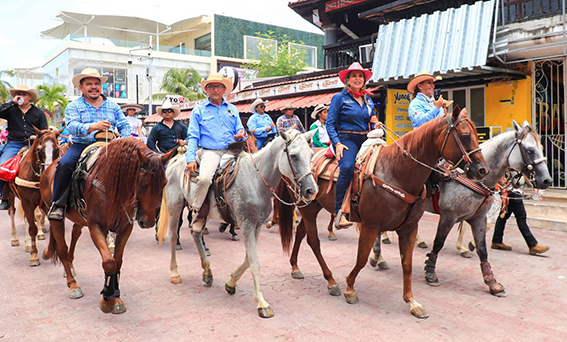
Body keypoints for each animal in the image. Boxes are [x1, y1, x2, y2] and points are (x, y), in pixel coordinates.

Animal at [6, 128, 60, 264]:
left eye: (57, 149)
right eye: (40, 150)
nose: (49, 172)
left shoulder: (46, 204)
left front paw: (46, 252)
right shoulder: (27, 203)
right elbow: (32, 229)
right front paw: (34, 256)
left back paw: (27, 244)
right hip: (11, 196)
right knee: (12, 211)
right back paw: (15, 238)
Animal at [39, 138, 173, 314]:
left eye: (164, 183)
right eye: (143, 185)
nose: (148, 221)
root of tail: (49, 169)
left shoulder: (125, 228)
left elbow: (118, 261)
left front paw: (116, 296)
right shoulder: (96, 226)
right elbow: (109, 262)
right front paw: (107, 299)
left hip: (80, 219)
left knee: (75, 233)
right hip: (55, 215)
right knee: (61, 248)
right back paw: (72, 284)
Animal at [159, 130, 320, 320]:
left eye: (311, 155)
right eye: (294, 156)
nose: (311, 190)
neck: (256, 180)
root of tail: (177, 159)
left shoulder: (256, 226)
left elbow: (248, 259)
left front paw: (230, 282)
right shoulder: (246, 225)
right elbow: (254, 263)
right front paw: (262, 303)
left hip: (198, 213)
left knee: (196, 233)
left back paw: (207, 272)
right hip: (175, 206)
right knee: (173, 237)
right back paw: (175, 273)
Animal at [276, 107, 488, 318]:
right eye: (465, 136)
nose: (482, 170)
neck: (395, 172)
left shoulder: (409, 228)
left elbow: (407, 264)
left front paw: (412, 302)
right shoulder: (370, 226)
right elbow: (362, 258)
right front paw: (350, 289)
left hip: (313, 207)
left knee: (301, 233)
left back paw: (295, 267)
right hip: (307, 208)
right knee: (313, 241)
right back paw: (331, 281)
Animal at [368, 120, 552, 296]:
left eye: (542, 148)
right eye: (529, 150)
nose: (547, 180)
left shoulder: (478, 218)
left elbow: (482, 249)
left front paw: (492, 282)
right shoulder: (448, 217)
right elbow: (438, 243)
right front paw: (430, 272)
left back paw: (379, 256)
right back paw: (380, 255)